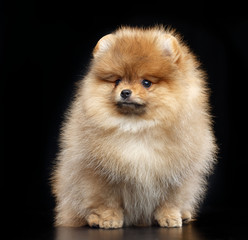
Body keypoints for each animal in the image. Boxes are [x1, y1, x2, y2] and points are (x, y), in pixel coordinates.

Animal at [51, 26, 216, 229]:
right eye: (117, 81)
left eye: (146, 83)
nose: (125, 92)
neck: (137, 128)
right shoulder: (100, 176)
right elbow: (107, 201)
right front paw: (108, 219)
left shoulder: (177, 174)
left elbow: (170, 200)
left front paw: (170, 217)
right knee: (77, 212)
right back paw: (93, 219)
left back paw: (184, 215)